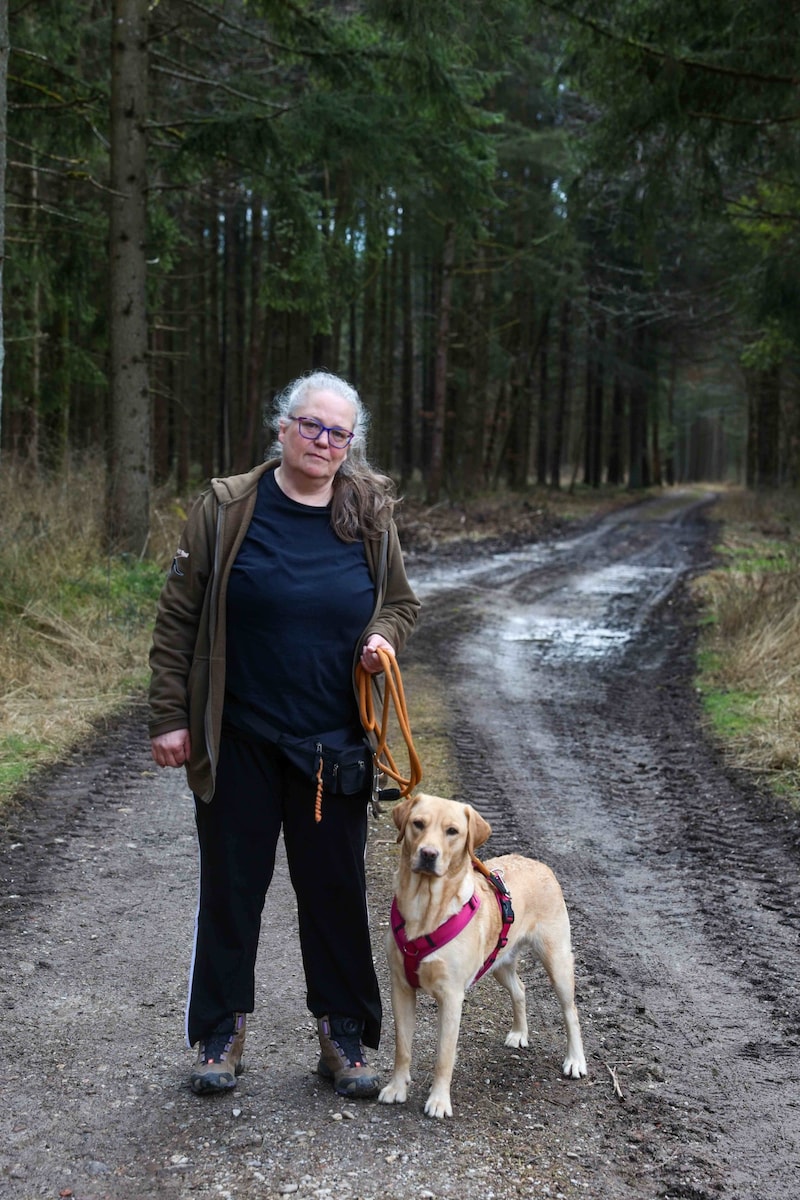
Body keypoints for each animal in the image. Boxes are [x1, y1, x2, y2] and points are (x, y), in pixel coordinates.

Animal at [376, 792, 587, 1118]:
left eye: (452, 831)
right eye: (418, 824)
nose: (428, 854)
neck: (426, 908)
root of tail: (537, 863)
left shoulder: (451, 996)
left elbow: (444, 1055)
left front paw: (439, 1101)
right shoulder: (400, 988)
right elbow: (402, 1047)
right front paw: (397, 1088)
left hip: (558, 961)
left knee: (571, 1012)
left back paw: (575, 1060)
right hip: (498, 961)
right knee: (520, 989)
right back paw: (519, 1032)